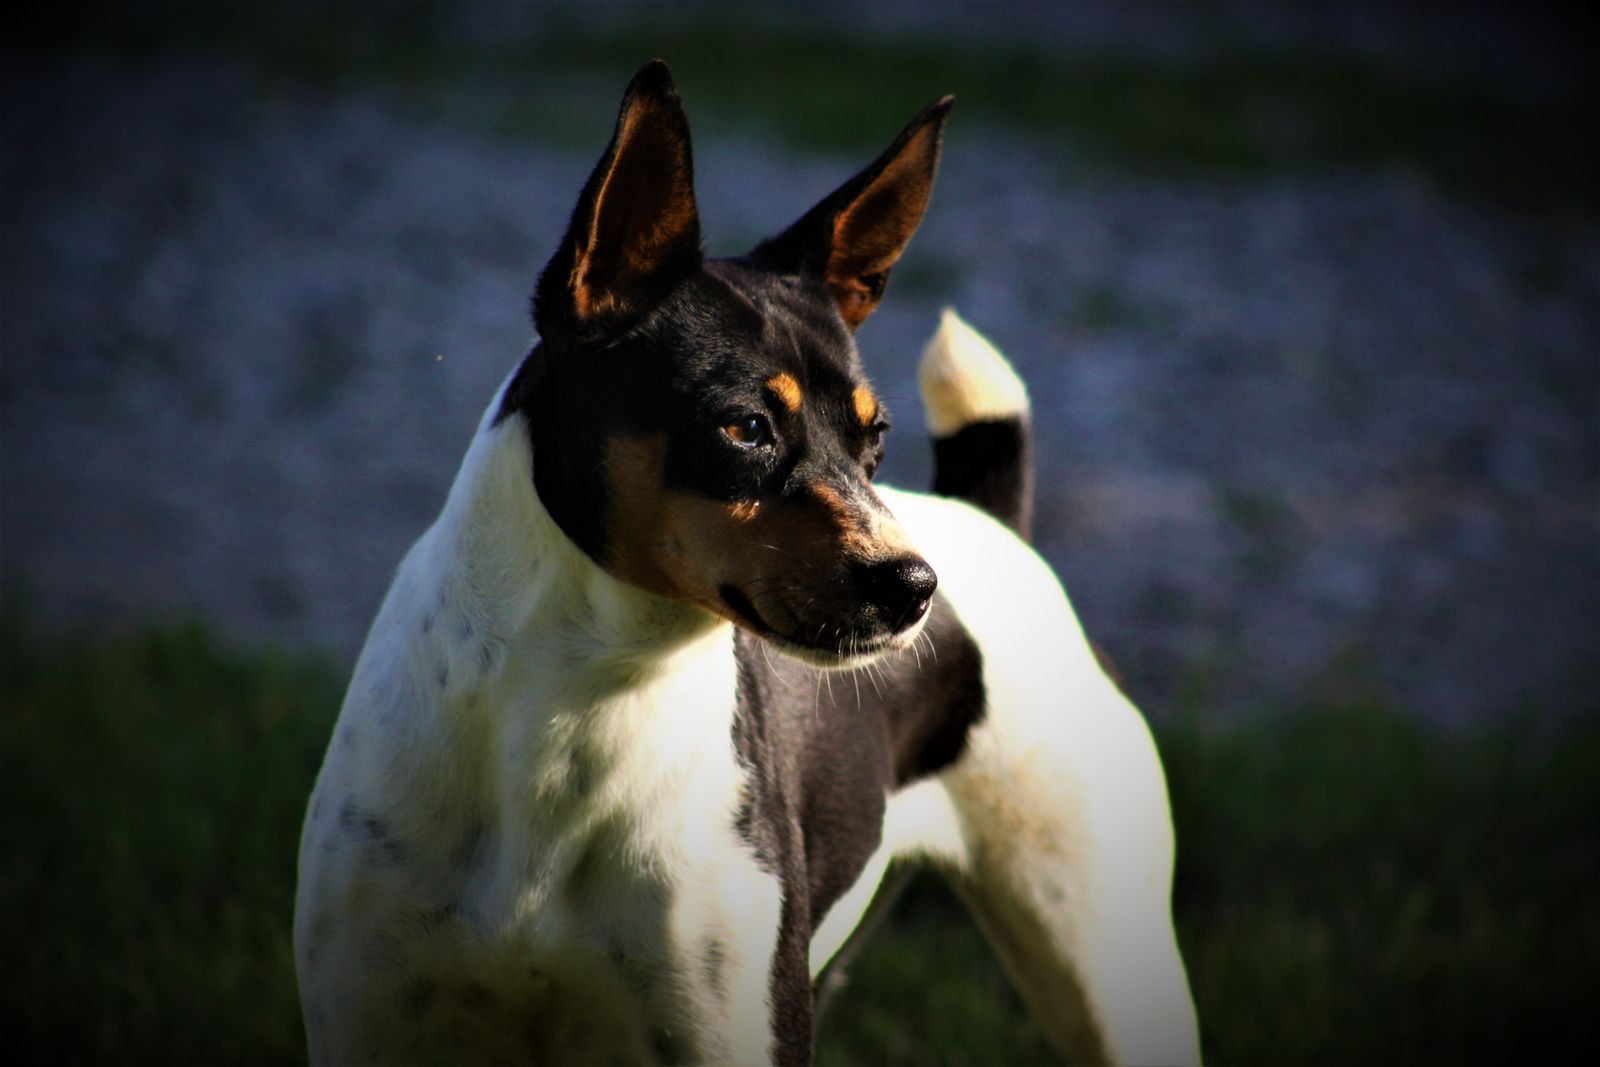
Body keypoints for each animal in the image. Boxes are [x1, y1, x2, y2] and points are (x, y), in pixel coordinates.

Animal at [297, 62, 1203, 1062]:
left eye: (875, 437)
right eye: (746, 426)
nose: (916, 587)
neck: (583, 703)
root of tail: (990, 520)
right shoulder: (369, 1023)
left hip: (1106, 973)